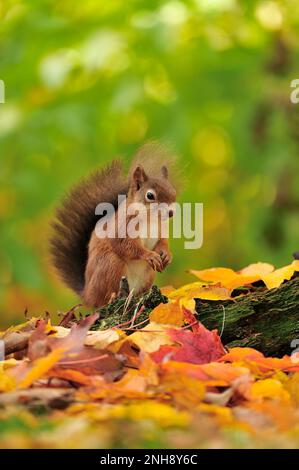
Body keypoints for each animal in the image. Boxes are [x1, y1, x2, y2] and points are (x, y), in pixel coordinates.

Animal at [50, 141, 178, 306]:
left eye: (173, 192)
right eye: (150, 195)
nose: (171, 213)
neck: (150, 219)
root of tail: (88, 295)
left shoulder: (161, 229)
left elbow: (163, 241)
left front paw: (166, 254)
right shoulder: (122, 226)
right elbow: (124, 244)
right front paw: (150, 255)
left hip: (148, 274)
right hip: (110, 264)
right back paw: (112, 297)